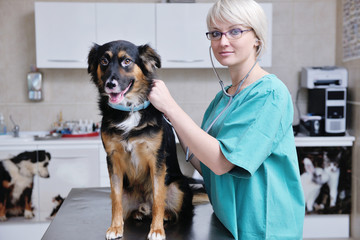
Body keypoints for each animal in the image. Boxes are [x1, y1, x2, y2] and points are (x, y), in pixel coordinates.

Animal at [88, 40, 205, 239]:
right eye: (104, 61)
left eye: (126, 61)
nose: (110, 84)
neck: (129, 109)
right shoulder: (112, 159)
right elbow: (115, 199)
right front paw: (115, 227)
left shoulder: (156, 159)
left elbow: (158, 199)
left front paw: (157, 230)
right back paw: (138, 213)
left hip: (178, 186)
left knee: (178, 210)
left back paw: (166, 215)